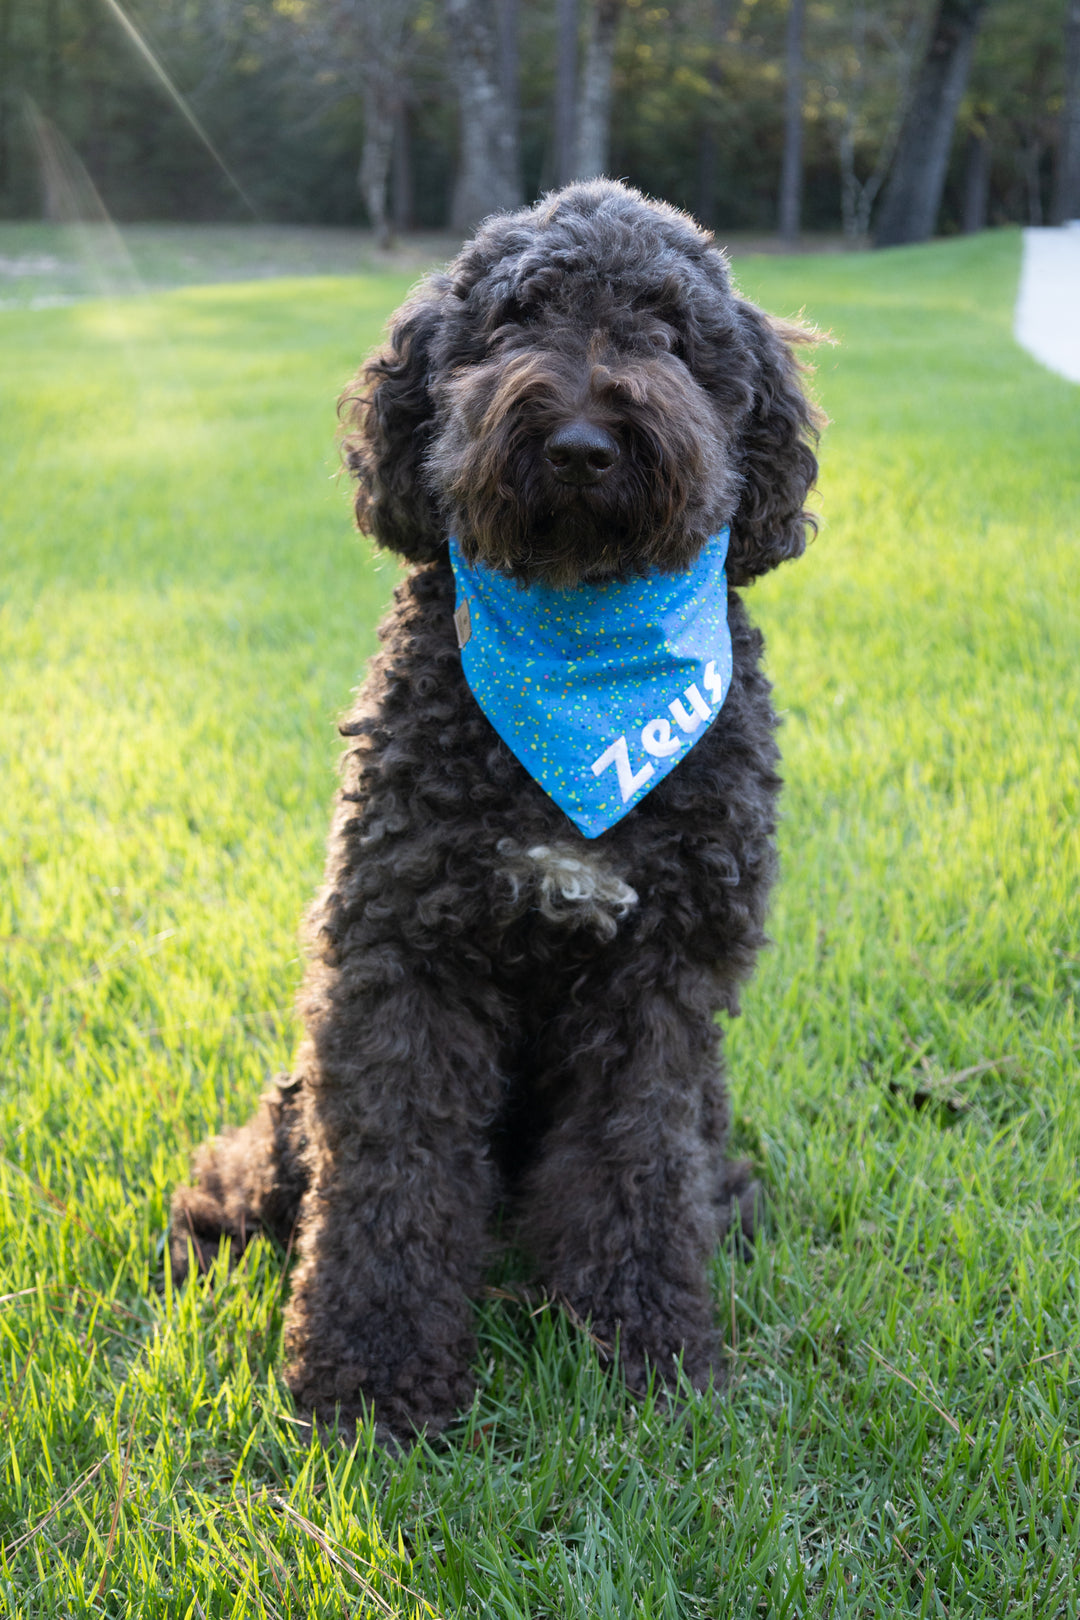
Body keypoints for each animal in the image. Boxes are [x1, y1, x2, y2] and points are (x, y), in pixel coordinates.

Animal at [170, 180, 819, 1445]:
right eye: (515, 319)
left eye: (670, 330)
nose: (580, 440)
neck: (581, 656)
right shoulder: (403, 957)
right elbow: (393, 1174)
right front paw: (371, 1383)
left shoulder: (659, 983)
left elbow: (636, 1166)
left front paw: (646, 1354)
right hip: (297, 1102)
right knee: (274, 1171)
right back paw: (204, 1230)